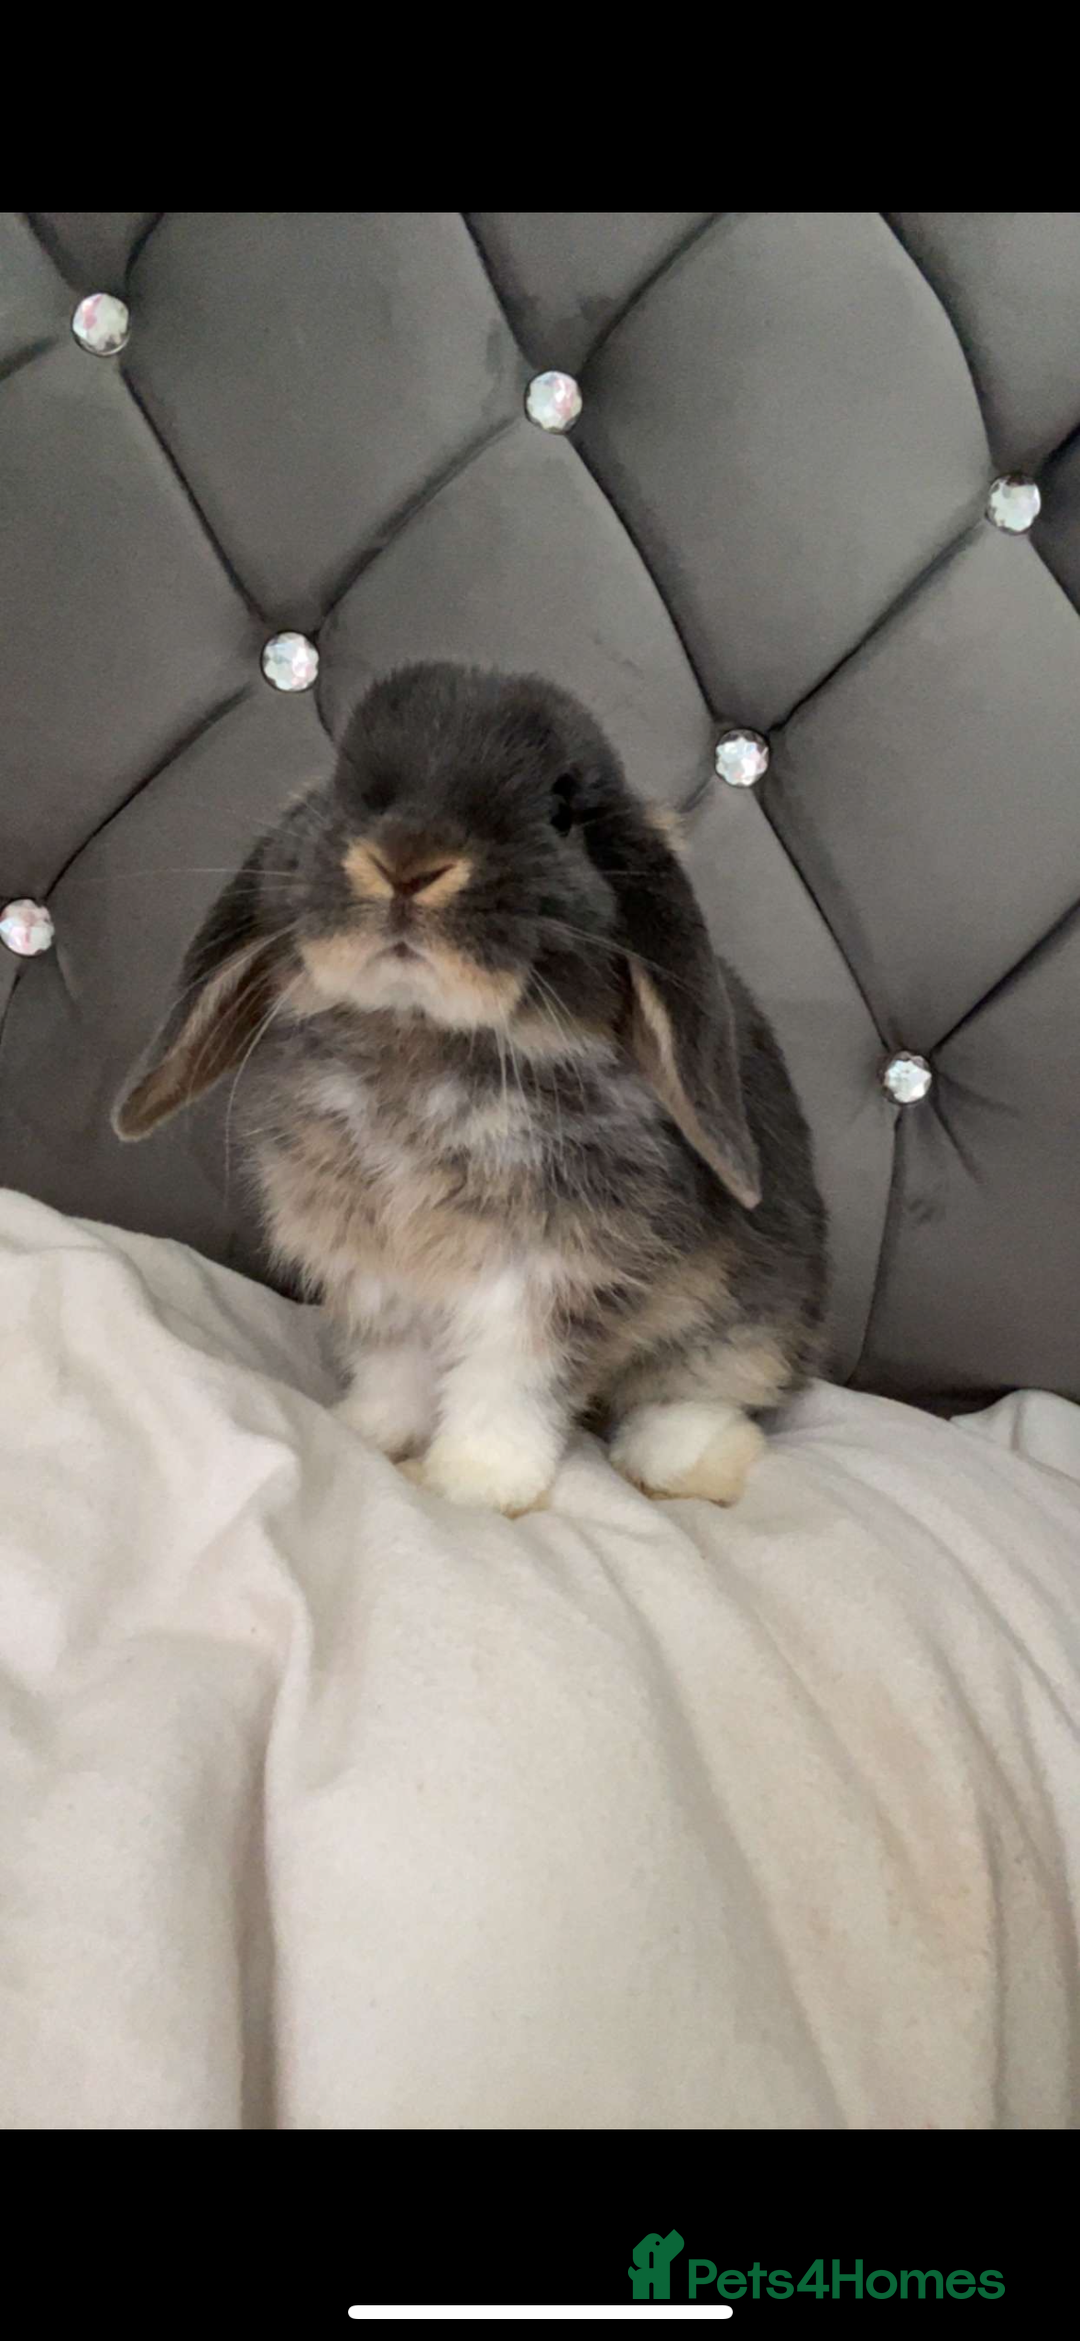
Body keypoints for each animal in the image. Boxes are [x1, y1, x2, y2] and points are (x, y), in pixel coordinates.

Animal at [114, 662, 828, 1516]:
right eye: (345, 784)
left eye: (561, 809)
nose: (406, 860)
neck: (422, 1040)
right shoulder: (376, 1268)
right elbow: (396, 1365)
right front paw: (369, 1432)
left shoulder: (545, 1275)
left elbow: (507, 1380)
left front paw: (473, 1484)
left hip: (750, 1312)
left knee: (723, 1389)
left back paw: (678, 1458)